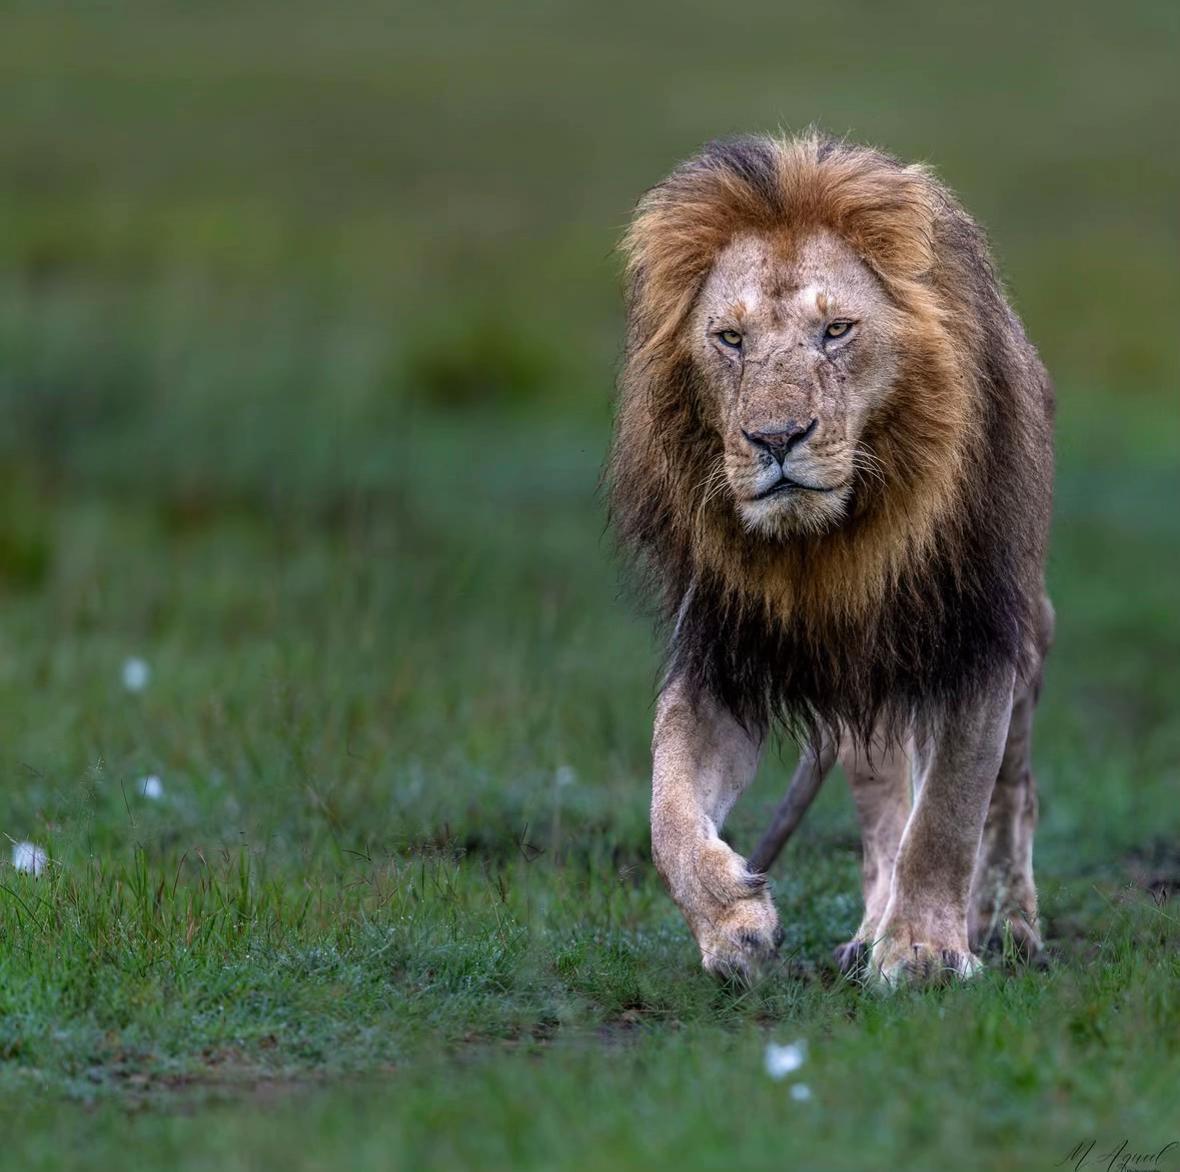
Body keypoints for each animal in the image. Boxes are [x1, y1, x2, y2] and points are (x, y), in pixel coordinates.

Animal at [608, 133, 1055, 988]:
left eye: (838, 330)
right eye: (731, 339)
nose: (776, 438)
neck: (826, 549)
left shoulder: (975, 639)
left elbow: (949, 813)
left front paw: (924, 952)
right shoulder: (724, 654)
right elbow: (665, 809)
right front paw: (734, 925)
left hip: (1025, 634)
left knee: (1011, 793)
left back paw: (1009, 925)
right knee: (884, 814)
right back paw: (867, 932)